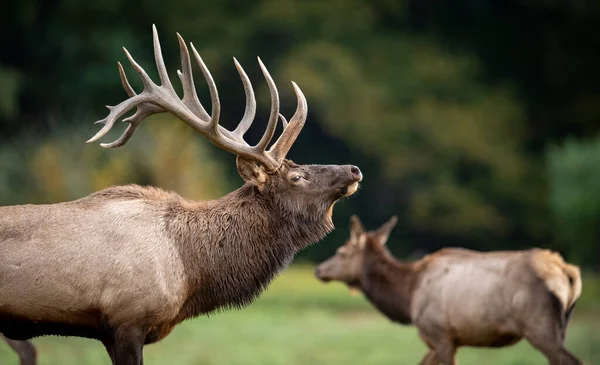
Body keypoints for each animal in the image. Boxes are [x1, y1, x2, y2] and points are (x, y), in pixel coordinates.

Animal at [314, 215, 580, 362]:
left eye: (341, 252)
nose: (318, 270)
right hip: (558, 329)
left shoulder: (439, 333)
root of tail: (569, 273)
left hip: (539, 326)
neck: (408, 296)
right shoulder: (446, 339)